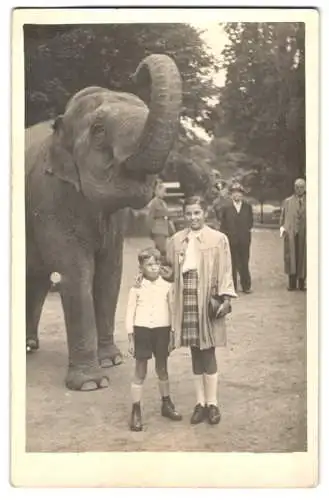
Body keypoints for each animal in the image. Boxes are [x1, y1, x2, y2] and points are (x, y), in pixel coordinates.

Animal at [26, 53, 182, 390]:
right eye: (98, 130)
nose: (136, 72)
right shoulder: (50, 197)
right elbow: (77, 272)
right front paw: (90, 384)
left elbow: (111, 272)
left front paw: (112, 361)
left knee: (37, 279)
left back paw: (29, 346)